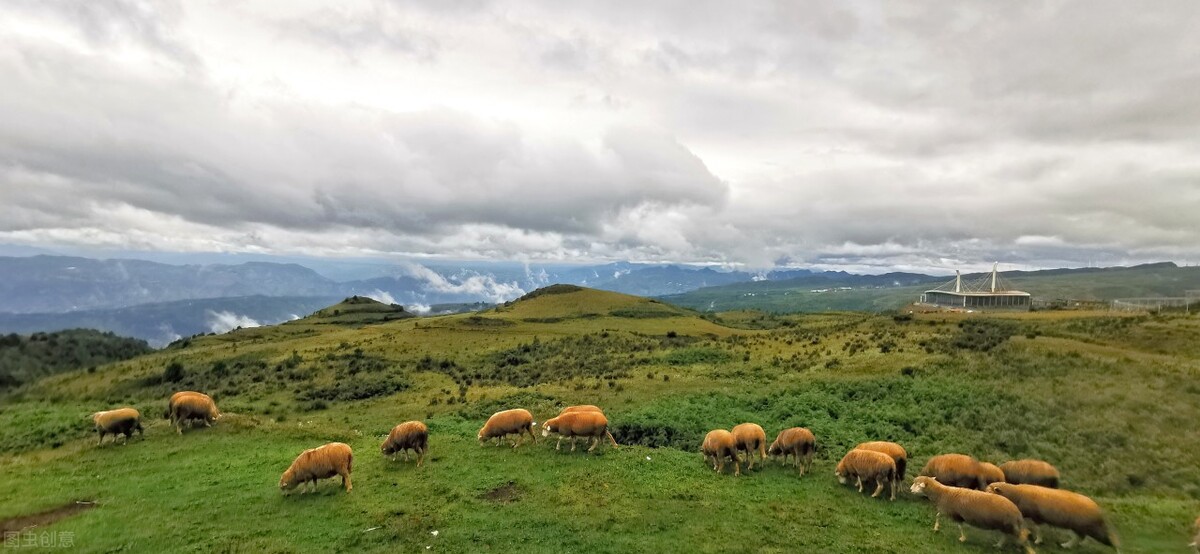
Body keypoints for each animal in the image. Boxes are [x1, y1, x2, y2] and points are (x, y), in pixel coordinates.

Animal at [988, 479, 1118, 549]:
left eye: (989, 491)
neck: (1016, 494)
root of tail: (1098, 510)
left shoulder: (1036, 516)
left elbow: (1038, 528)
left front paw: (1038, 540)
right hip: (1080, 526)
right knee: (1081, 537)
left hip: (1081, 525)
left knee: (1080, 537)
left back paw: (1066, 545)